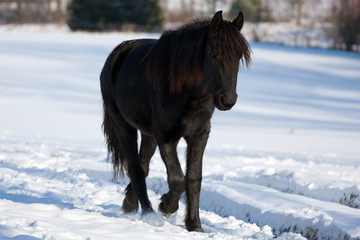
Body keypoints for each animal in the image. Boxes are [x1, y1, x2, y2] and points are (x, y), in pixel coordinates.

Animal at [99, 10, 250, 232]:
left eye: (238, 56)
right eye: (214, 54)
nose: (228, 100)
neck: (187, 94)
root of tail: (118, 53)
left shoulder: (199, 135)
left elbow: (194, 178)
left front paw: (194, 225)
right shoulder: (166, 137)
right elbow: (177, 178)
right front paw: (166, 206)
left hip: (148, 134)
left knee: (143, 166)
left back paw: (130, 205)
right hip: (124, 127)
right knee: (135, 168)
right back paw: (149, 213)